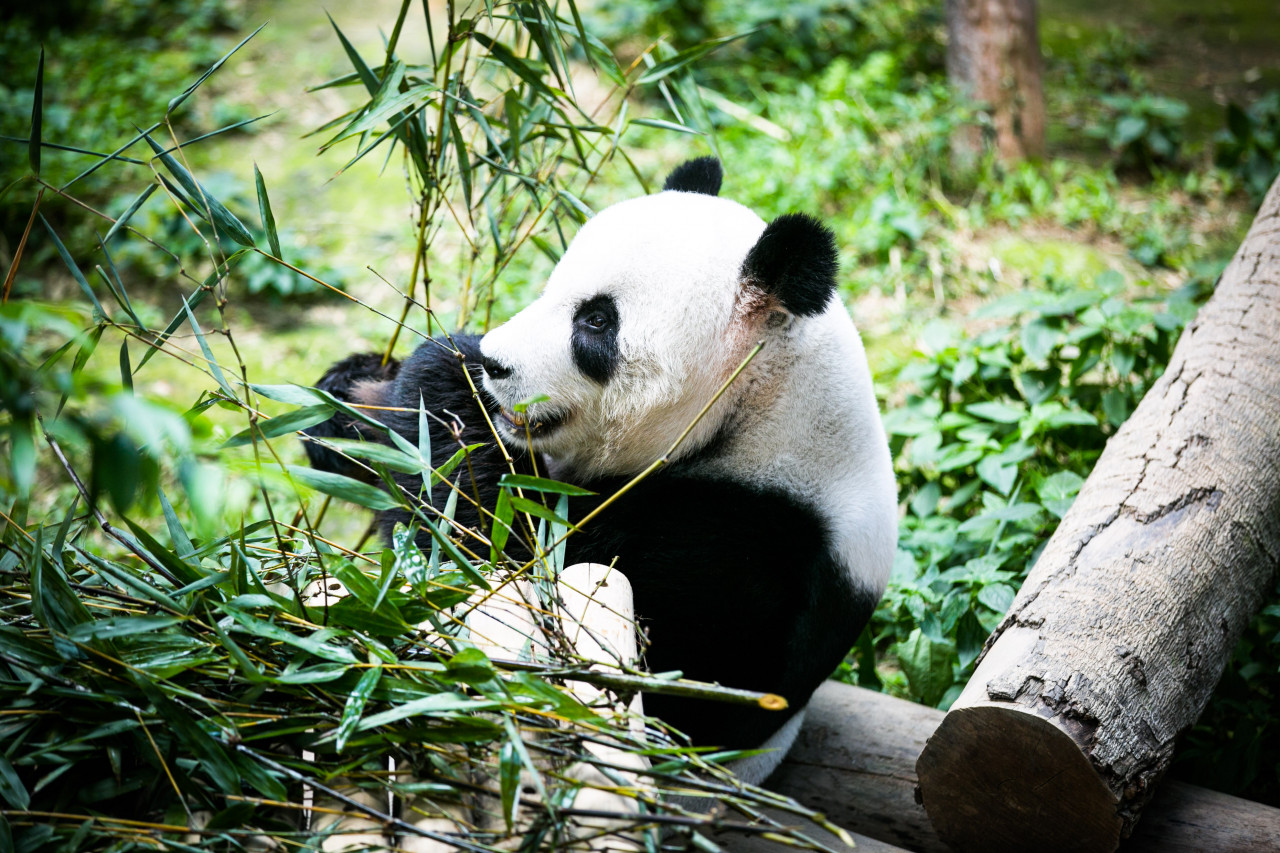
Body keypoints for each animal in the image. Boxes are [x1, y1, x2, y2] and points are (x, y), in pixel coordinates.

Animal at [303, 156, 896, 778]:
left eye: (594, 321)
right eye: (551, 288)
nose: (494, 362)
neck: (760, 407)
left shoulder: (745, 555)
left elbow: (500, 568)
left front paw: (443, 376)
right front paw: (349, 394)